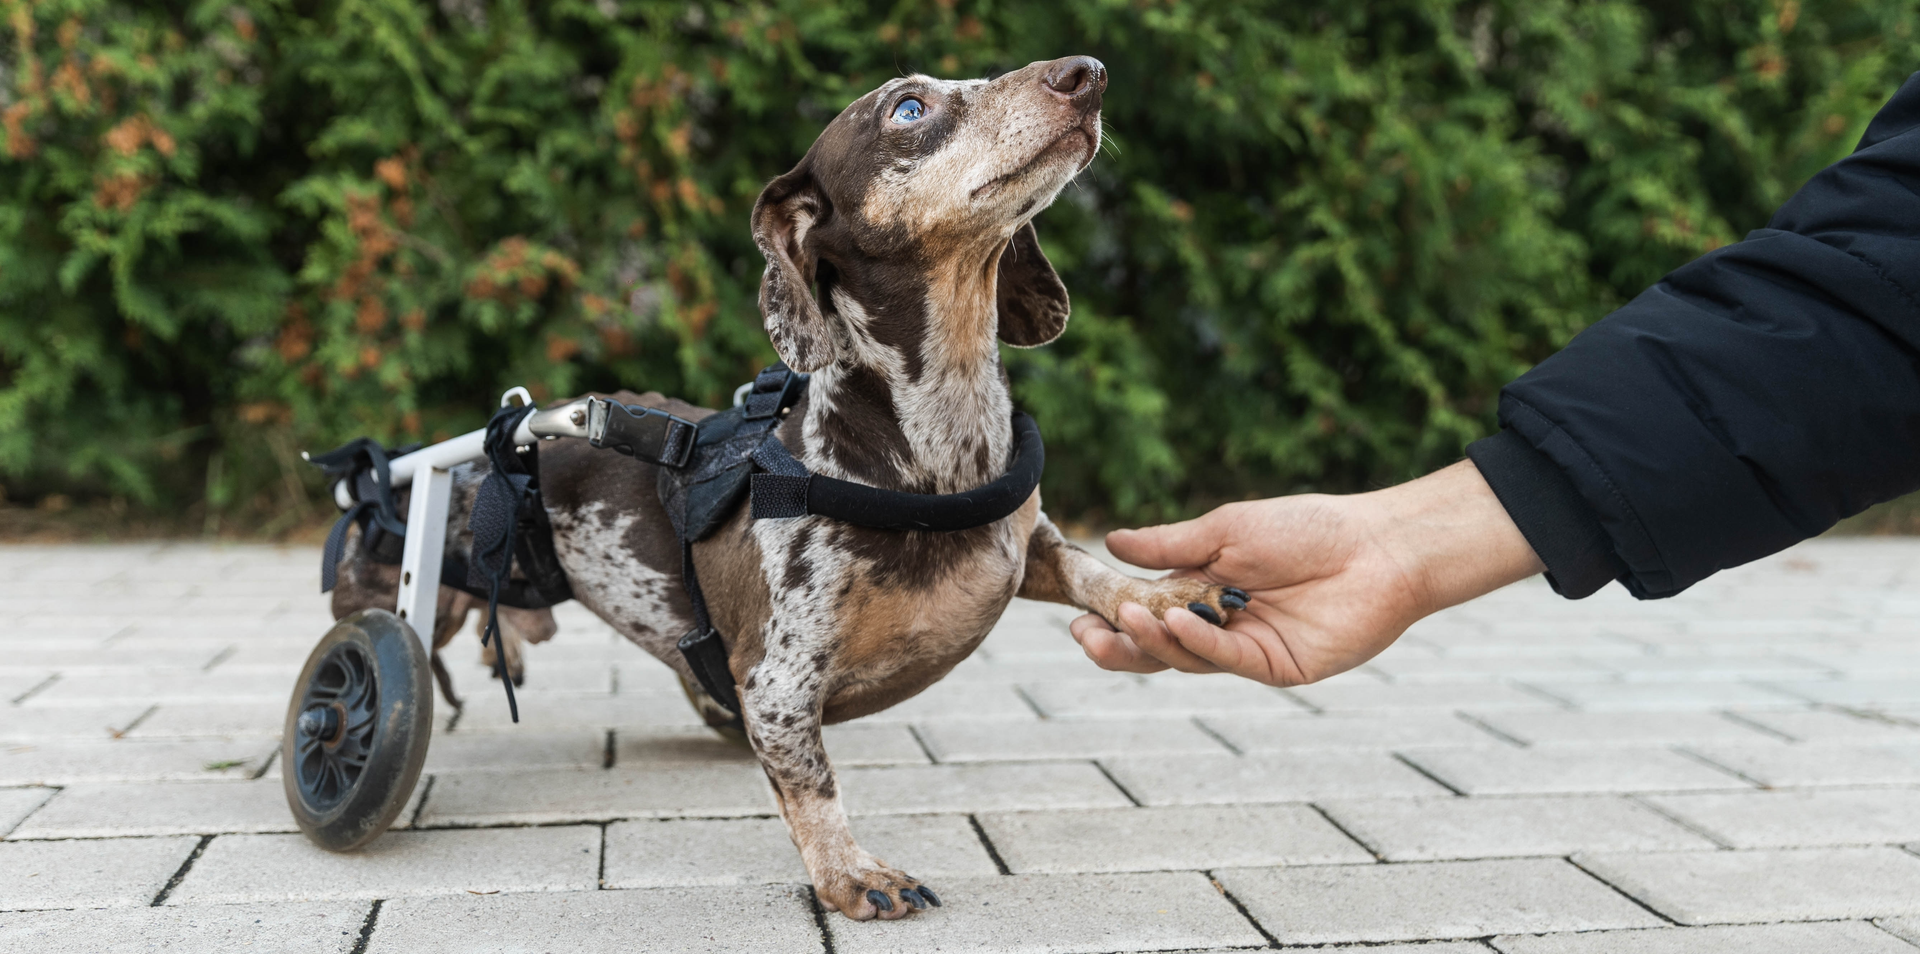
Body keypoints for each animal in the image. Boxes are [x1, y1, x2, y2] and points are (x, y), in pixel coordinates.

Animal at [330, 55, 1244, 917]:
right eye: (907, 108)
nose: (1086, 74)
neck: (935, 448)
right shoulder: (780, 682)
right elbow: (814, 785)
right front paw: (851, 872)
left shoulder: (1028, 547)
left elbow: (1093, 571)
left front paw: (1165, 595)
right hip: (404, 600)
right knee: (379, 641)